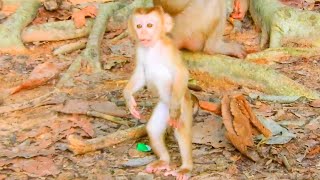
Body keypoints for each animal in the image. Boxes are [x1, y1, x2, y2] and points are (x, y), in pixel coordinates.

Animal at [122, 5, 192, 180]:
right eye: (139, 25)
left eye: (149, 25)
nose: (143, 33)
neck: (152, 48)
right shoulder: (139, 50)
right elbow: (141, 75)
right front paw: (128, 98)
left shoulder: (169, 50)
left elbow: (181, 73)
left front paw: (175, 110)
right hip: (162, 108)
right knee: (153, 129)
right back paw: (163, 161)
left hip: (183, 103)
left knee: (181, 128)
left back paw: (186, 168)